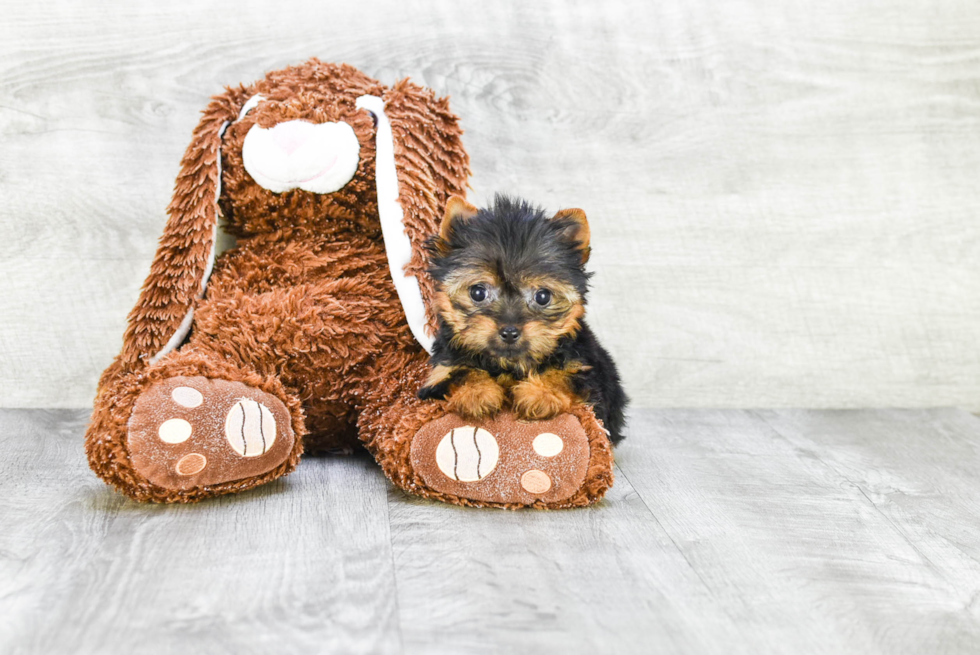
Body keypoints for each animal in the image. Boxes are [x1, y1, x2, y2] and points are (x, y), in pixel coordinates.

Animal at [416, 192, 628, 444]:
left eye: (542, 296)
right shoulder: (438, 373)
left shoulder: (586, 370)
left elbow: (567, 376)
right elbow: (459, 371)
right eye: (478, 292)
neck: (509, 364)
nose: (509, 331)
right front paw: (478, 393)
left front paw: (540, 393)